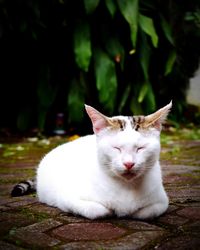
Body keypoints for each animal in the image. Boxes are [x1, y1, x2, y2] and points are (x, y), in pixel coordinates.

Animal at [36, 101, 172, 219]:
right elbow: (97, 211)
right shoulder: (67, 198)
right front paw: (111, 211)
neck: (126, 186)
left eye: (140, 148)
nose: (129, 164)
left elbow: (145, 213)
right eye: (116, 148)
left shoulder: (161, 201)